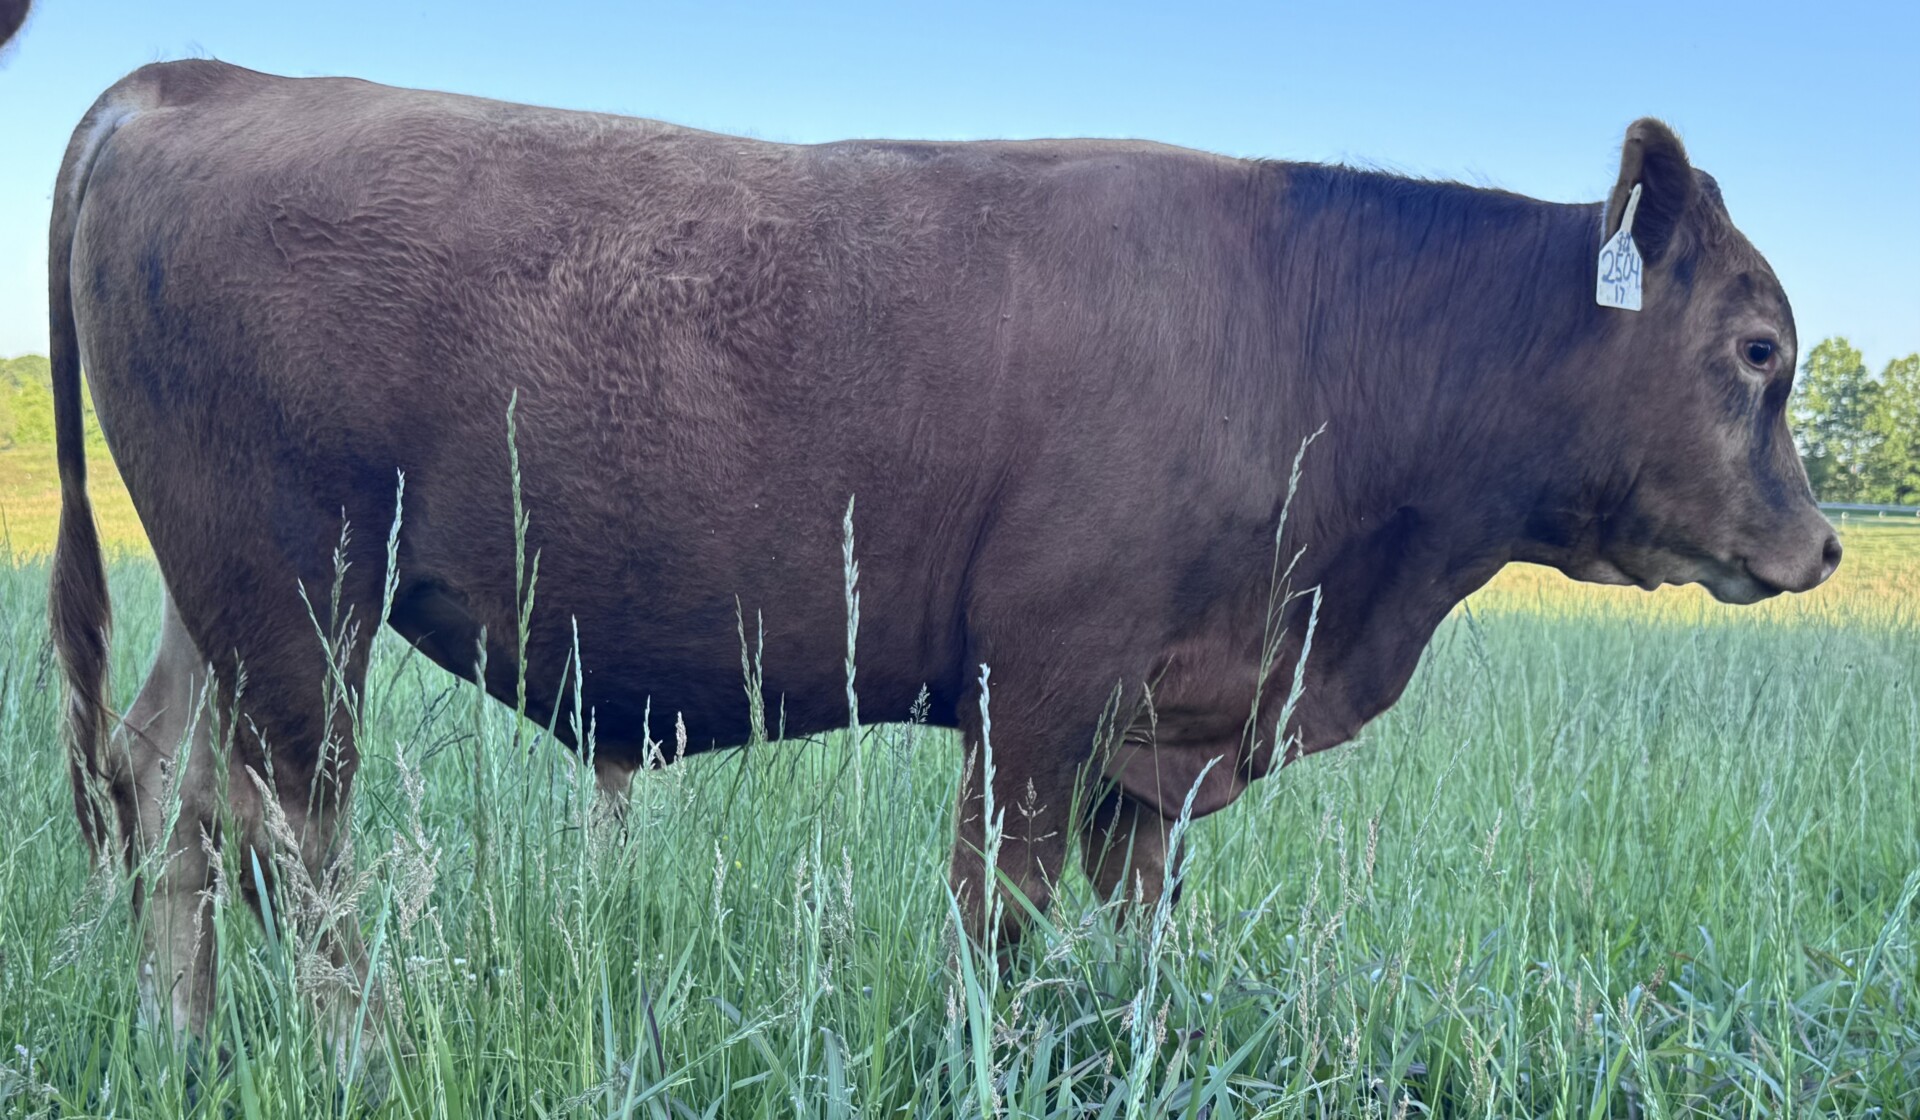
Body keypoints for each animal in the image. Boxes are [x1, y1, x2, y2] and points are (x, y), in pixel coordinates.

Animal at [50, 60, 1838, 1037]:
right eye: (1759, 347)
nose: (1820, 546)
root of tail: (198, 80)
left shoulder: (1151, 745)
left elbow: (1126, 935)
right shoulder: (1034, 705)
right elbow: (1008, 923)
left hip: (224, 603)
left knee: (165, 792)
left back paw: (180, 1046)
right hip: (298, 597)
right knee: (288, 829)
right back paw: (354, 1052)